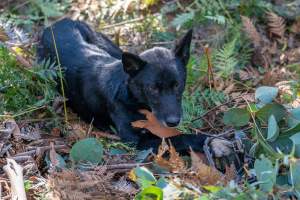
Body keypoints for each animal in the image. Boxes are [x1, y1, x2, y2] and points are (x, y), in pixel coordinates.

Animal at [36, 18, 231, 155]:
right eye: (153, 89)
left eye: (177, 85)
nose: (173, 121)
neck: (131, 96)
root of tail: (57, 23)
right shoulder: (137, 142)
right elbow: (178, 138)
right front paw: (211, 141)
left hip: (108, 45)